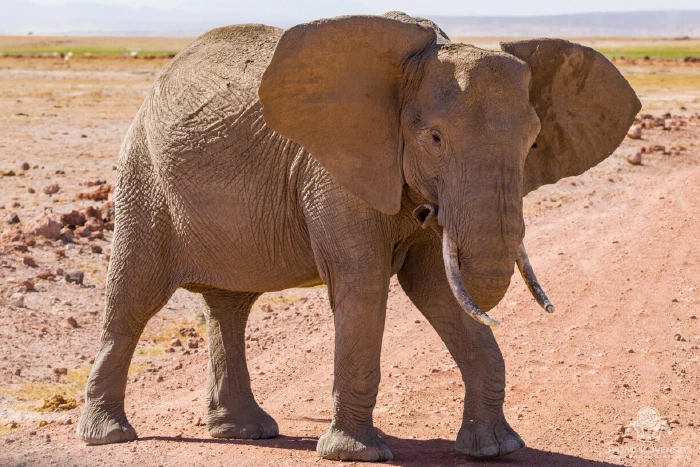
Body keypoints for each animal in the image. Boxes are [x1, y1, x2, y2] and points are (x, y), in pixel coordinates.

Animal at [76, 12, 640, 462]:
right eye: (434, 138)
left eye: (533, 142)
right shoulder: (335, 169)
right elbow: (365, 283)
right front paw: (356, 454)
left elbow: (438, 286)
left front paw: (498, 450)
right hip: (145, 178)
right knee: (133, 298)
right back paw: (110, 436)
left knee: (229, 306)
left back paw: (246, 432)